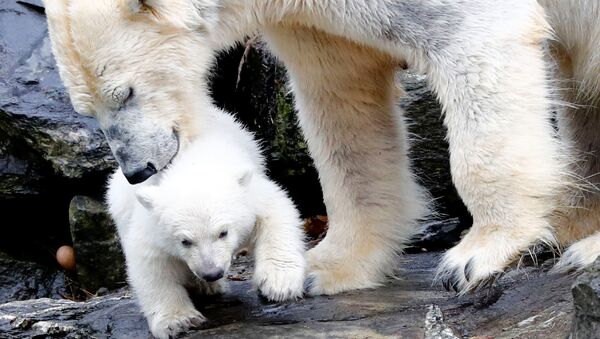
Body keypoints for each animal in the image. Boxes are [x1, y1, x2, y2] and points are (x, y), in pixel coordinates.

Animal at [42, 0, 596, 294]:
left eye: (125, 92)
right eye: (85, 107)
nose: (137, 169)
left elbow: (476, 40)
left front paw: (476, 255)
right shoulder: (311, 20)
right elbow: (343, 101)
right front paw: (325, 268)